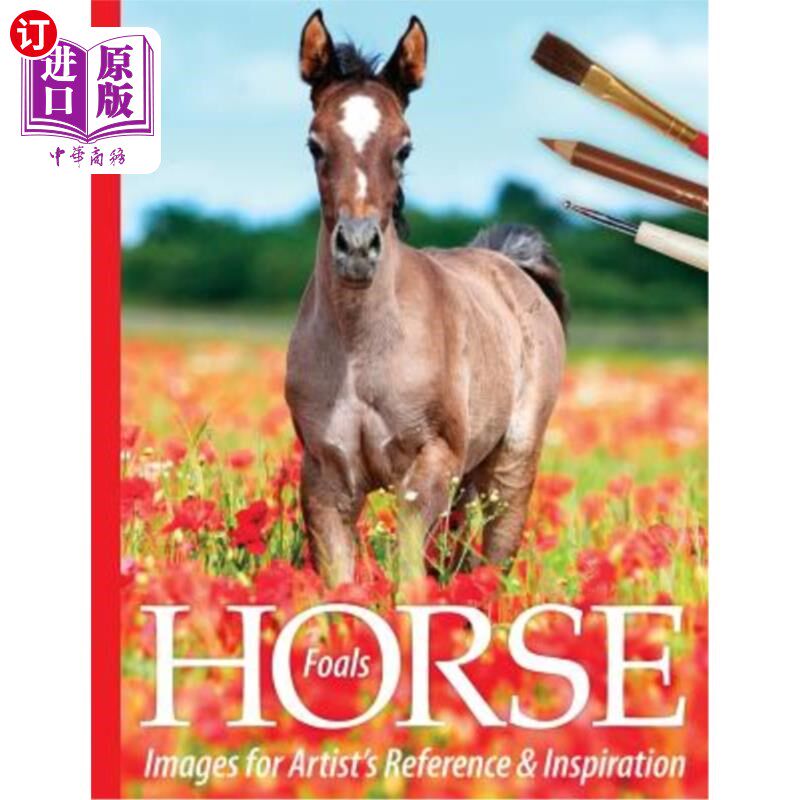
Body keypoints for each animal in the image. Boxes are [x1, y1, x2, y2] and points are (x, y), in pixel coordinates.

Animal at [286, 10, 567, 587]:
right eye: (315, 145)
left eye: (404, 147)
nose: (358, 249)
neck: (360, 353)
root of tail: (509, 263)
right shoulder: (325, 475)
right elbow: (340, 586)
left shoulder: (431, 465)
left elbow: (411, 578)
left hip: (512, 460)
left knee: (497, 550)